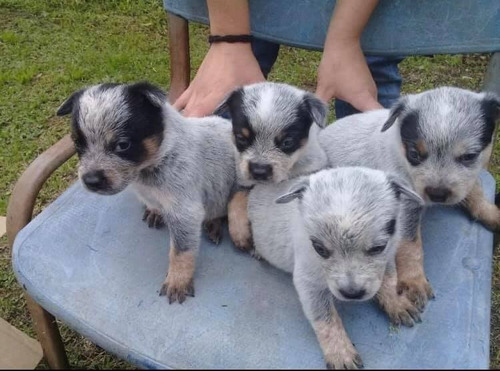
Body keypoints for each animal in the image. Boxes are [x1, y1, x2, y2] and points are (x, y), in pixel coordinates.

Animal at [57, 82, 237, 306]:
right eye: (77, 144)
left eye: (123, 145)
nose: (90, 180)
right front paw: (154, 211)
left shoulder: (185, 213)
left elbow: (181, 252)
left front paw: (177, 280)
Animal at [217, 82, 330, 253]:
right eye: (241, 138)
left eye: (287, 142)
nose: (259, 171)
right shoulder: (242, 175)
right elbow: (236, 198)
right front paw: (240, 234)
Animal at [320, 88, 500, 312]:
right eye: (415, 154)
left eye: (469, 156)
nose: (437, 194)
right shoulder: (406, 206)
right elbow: (410, 245)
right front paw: (415, 282)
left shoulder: (466, 179)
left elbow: (474, 189)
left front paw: (490, 212)